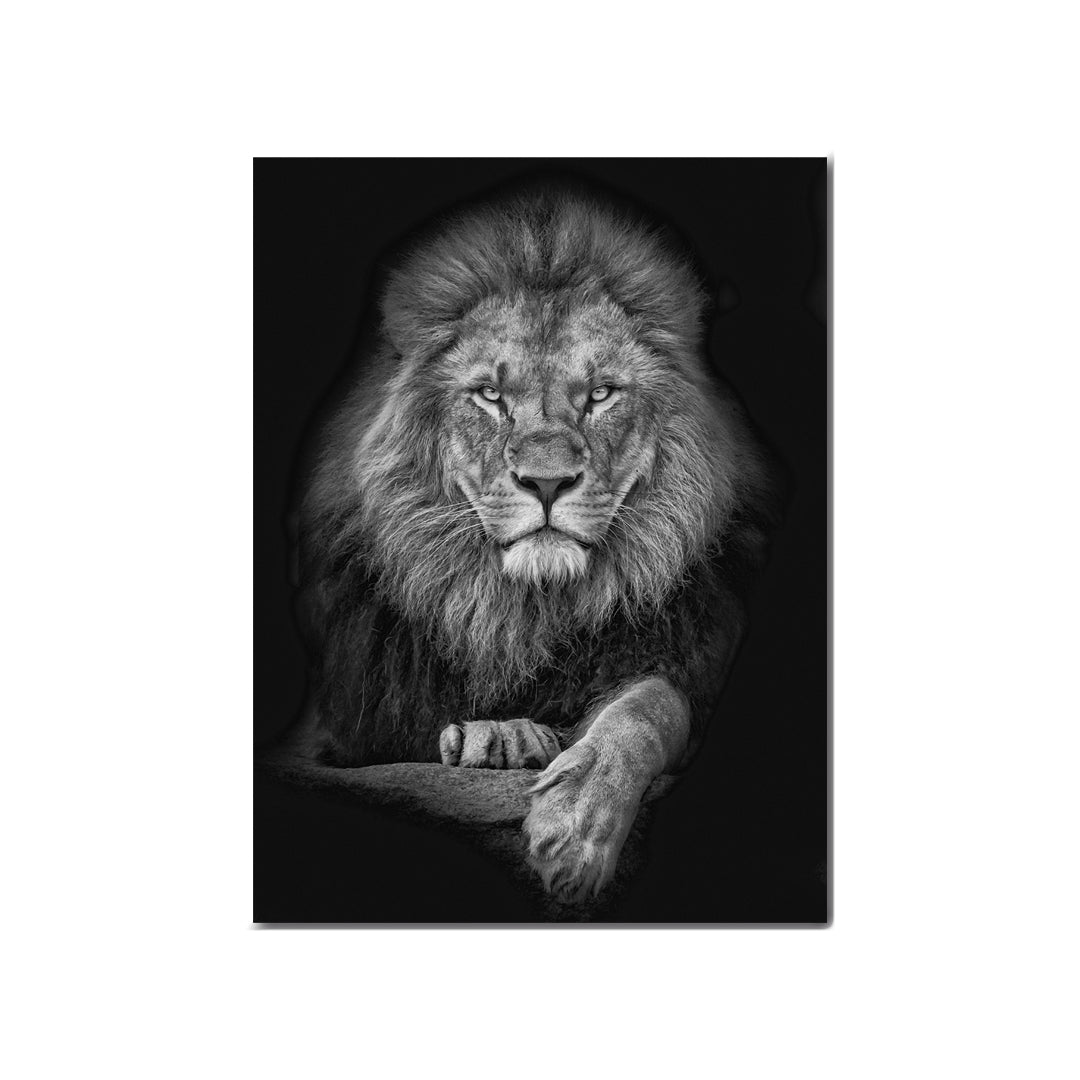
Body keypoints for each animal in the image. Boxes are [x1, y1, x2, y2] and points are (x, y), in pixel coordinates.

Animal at [293, 181, 779, 902]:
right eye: (491, 395)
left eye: (601, 394)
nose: (547, 482)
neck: (522, 612)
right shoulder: (346, 722)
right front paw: (500, 735)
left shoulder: (688, 656)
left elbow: (650, 706)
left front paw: (576, 828)